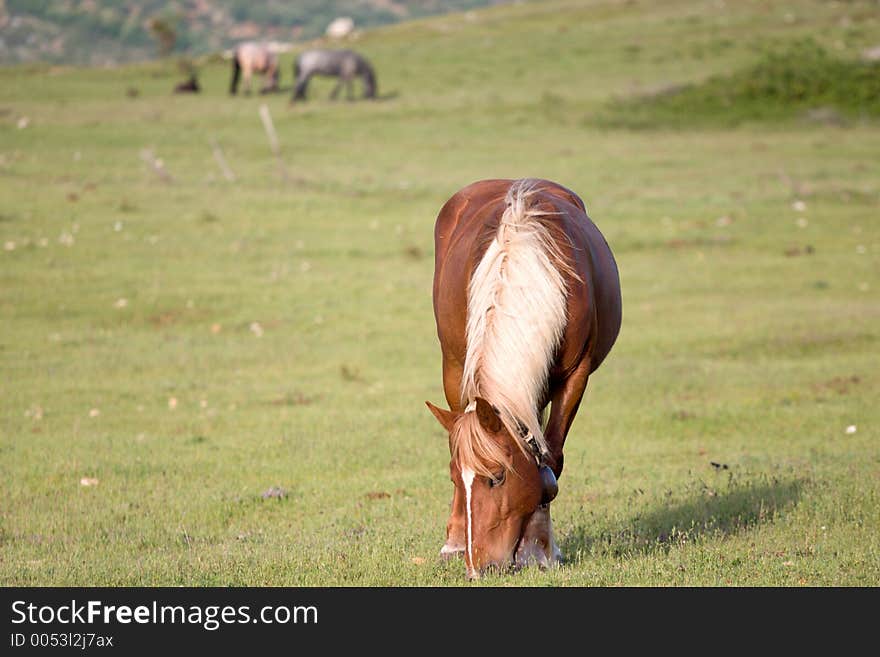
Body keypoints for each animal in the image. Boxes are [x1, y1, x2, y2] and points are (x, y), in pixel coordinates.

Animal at [424, 179, 620, 580]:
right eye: (454, 477)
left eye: (497, 477)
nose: (477, 569)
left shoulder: (575, 376)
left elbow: (551, 461)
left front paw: (538, 549)